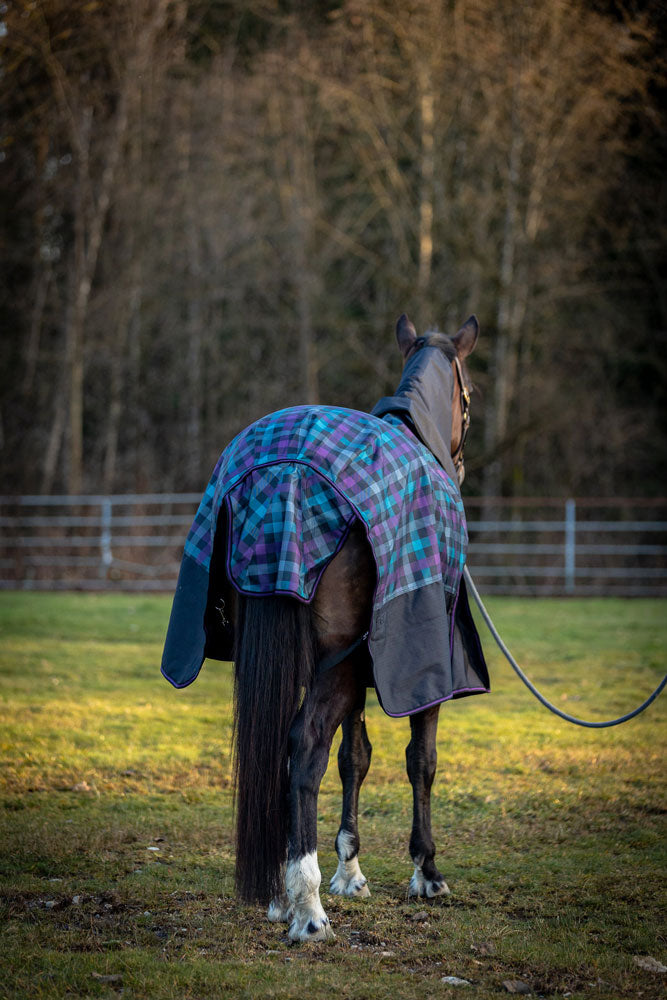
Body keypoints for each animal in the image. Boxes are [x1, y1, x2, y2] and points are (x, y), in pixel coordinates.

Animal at [161, 313, 489, 942]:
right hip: (338, 666)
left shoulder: (357, 668)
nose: (462, 464)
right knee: (304, 747)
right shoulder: (424, 667)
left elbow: (354, 757)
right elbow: (421, 760)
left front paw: (350, 871)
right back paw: (306, 907)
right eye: (469, 397)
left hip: (310, 662)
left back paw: (284, 894)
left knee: (287, 750)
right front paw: (426, 872)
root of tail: (282, 482)